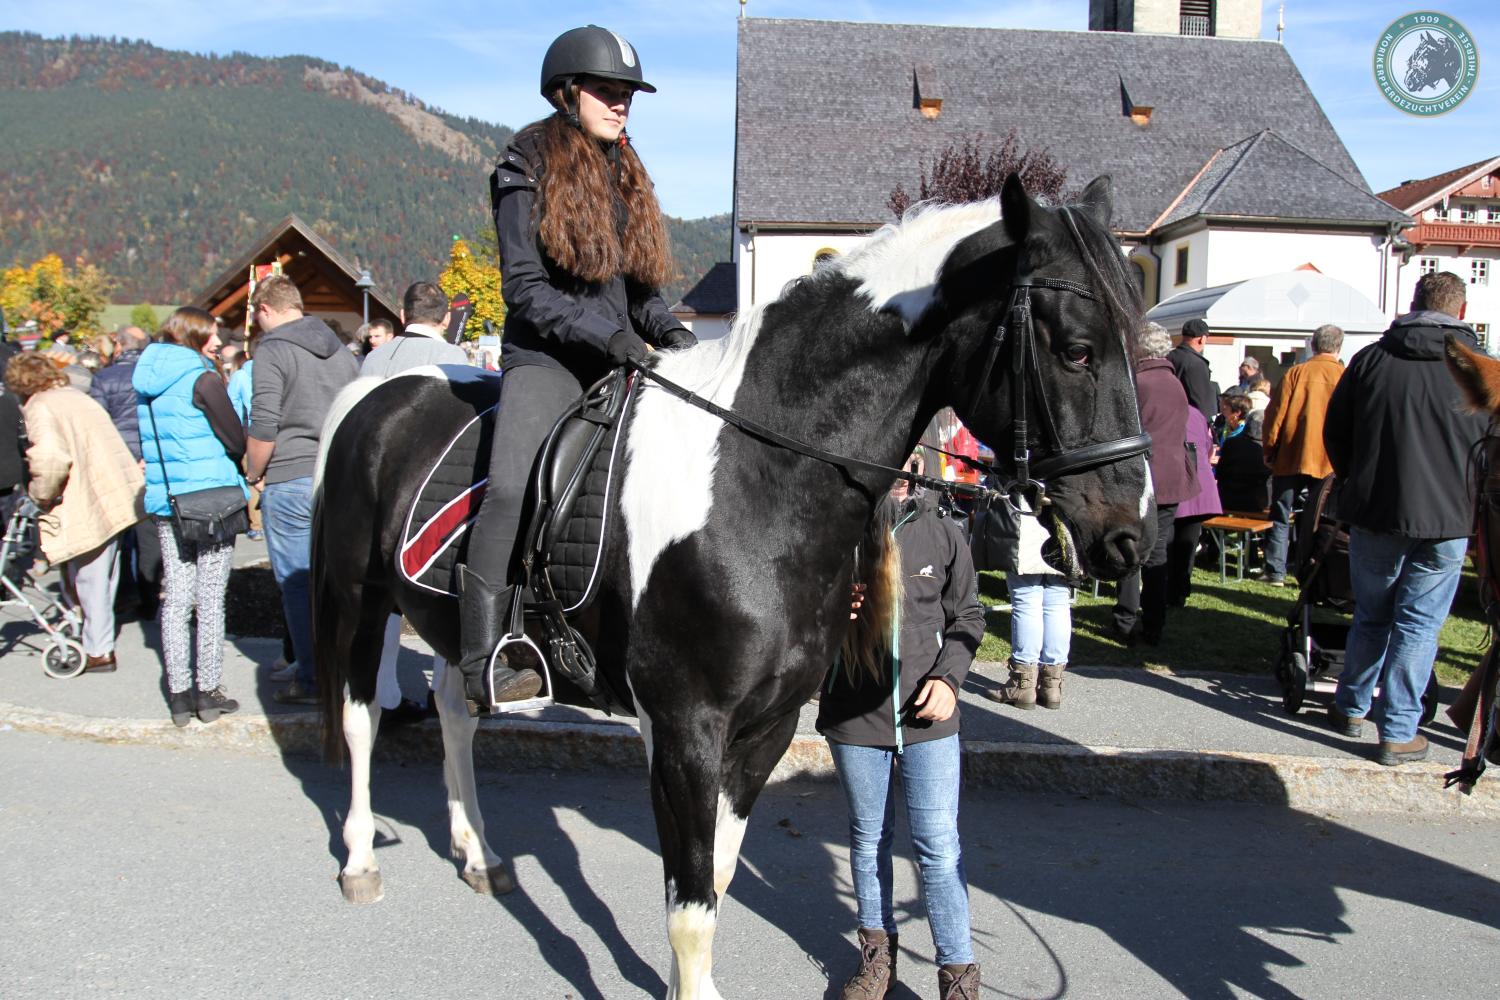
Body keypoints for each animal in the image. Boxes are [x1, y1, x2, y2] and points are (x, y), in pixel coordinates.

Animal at [311, 174, 1155, 999]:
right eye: (1077, 351)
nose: (1131, 535)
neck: (759, 476)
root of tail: (376, 394)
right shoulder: (686, 727)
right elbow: (689, 906)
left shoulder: (766, 726)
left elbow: (714, 877)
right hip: (359, 602)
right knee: (360, 720)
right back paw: (360, 861)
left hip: (449, 624)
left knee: (457, 713)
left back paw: (479, 855)